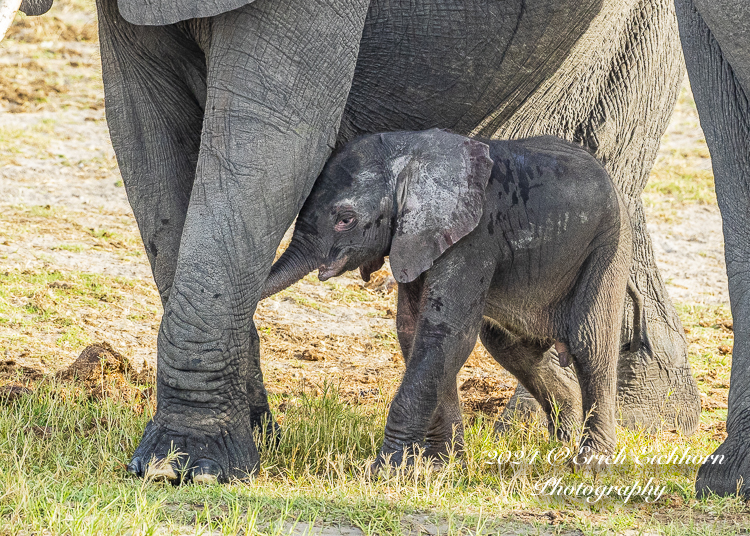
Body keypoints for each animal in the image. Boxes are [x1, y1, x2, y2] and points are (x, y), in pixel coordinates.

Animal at [264, 129, 640, 468]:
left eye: (345, 219)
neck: (411, 152)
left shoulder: (474, 238)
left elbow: (444, 335)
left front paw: (384, 470)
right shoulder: (417, 239)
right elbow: (414, 333)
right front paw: (441, 464)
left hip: (609, 247)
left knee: (591, 345)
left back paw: (590, 463)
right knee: (510, 347)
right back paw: (561, 443)